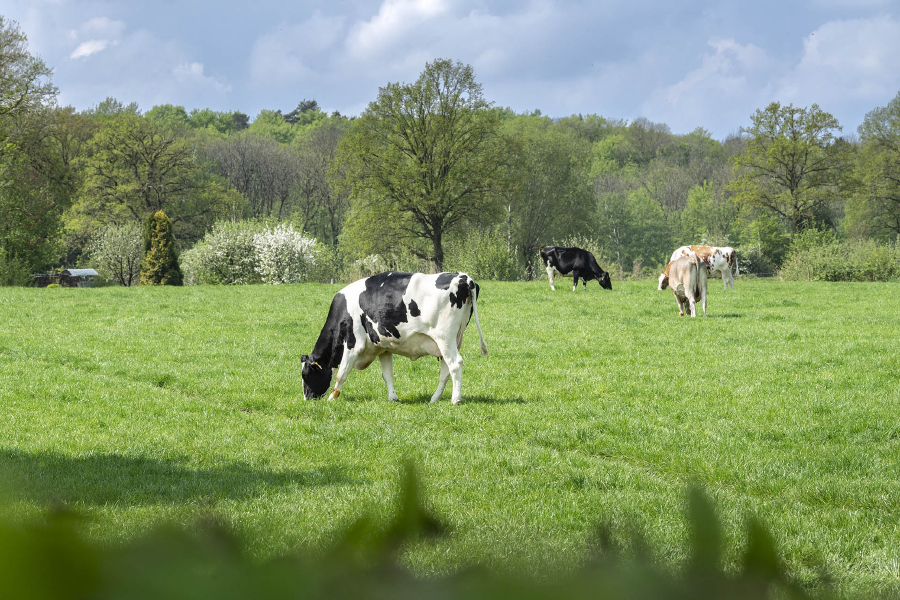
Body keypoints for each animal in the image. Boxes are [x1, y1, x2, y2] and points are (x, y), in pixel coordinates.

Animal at [300, 270, 486, 404]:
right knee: (446, 369)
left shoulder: (354, 344)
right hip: (451, 340)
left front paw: (332, 397)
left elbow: (342, 373)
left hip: (444, 337)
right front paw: (393, 397)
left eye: (306, 375)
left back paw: (455, 399)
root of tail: (463, 277)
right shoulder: (383, 347)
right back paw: (435, 398)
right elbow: (387, 374)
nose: (307, 398)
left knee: (455, 364)